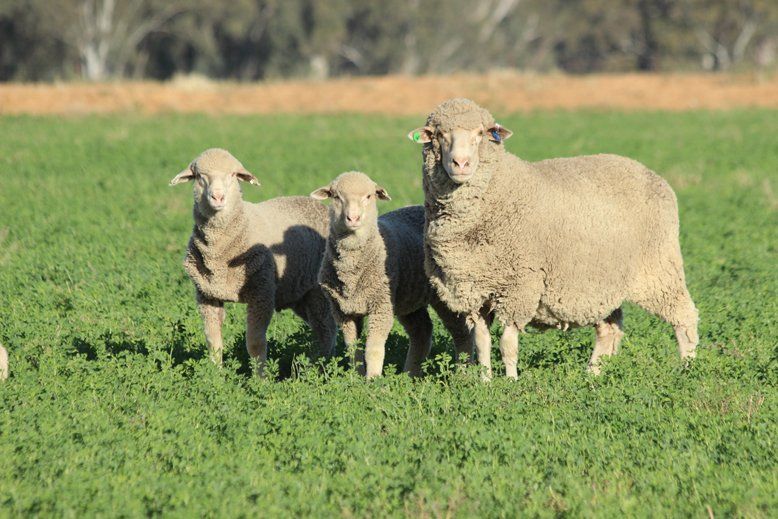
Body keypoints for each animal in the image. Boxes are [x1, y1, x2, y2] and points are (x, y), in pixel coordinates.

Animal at [170, 148, 337, 374]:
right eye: (199, 176)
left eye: (233, 175)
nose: (218, 196)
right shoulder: (207, 295)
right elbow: (213, 342)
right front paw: (215, 375)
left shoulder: (262, 293)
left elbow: (255, 343)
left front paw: (260, 377)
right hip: (300, 293)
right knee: (322, 331)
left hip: (318, 290)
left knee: (327, 331)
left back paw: (317, 369)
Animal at [311, 172, 472, 378]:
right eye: (336, 197)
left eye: (369, 196)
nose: (353, 218)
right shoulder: (342, 311)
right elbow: (352, 348)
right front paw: (356, 377)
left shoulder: (381, 305)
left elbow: (373, 349)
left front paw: (372, 380)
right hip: (408, 298)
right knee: (422, 331)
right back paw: (409, 375)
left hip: (444, 295)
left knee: (461, 332)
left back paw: (463, 373)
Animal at [408, 98, 699, 378]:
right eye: (439, 135)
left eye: (481, 134)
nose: (461, 164)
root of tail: (652, 174)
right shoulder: (474, 290)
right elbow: (482, 343)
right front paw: (485, 382)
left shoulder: (519, 287)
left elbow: (507, 344)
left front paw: (510, 382)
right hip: (600, 281)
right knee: (609, 328)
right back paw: (593, 376)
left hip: (658, 269)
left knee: (684, 317)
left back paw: (689, 369)